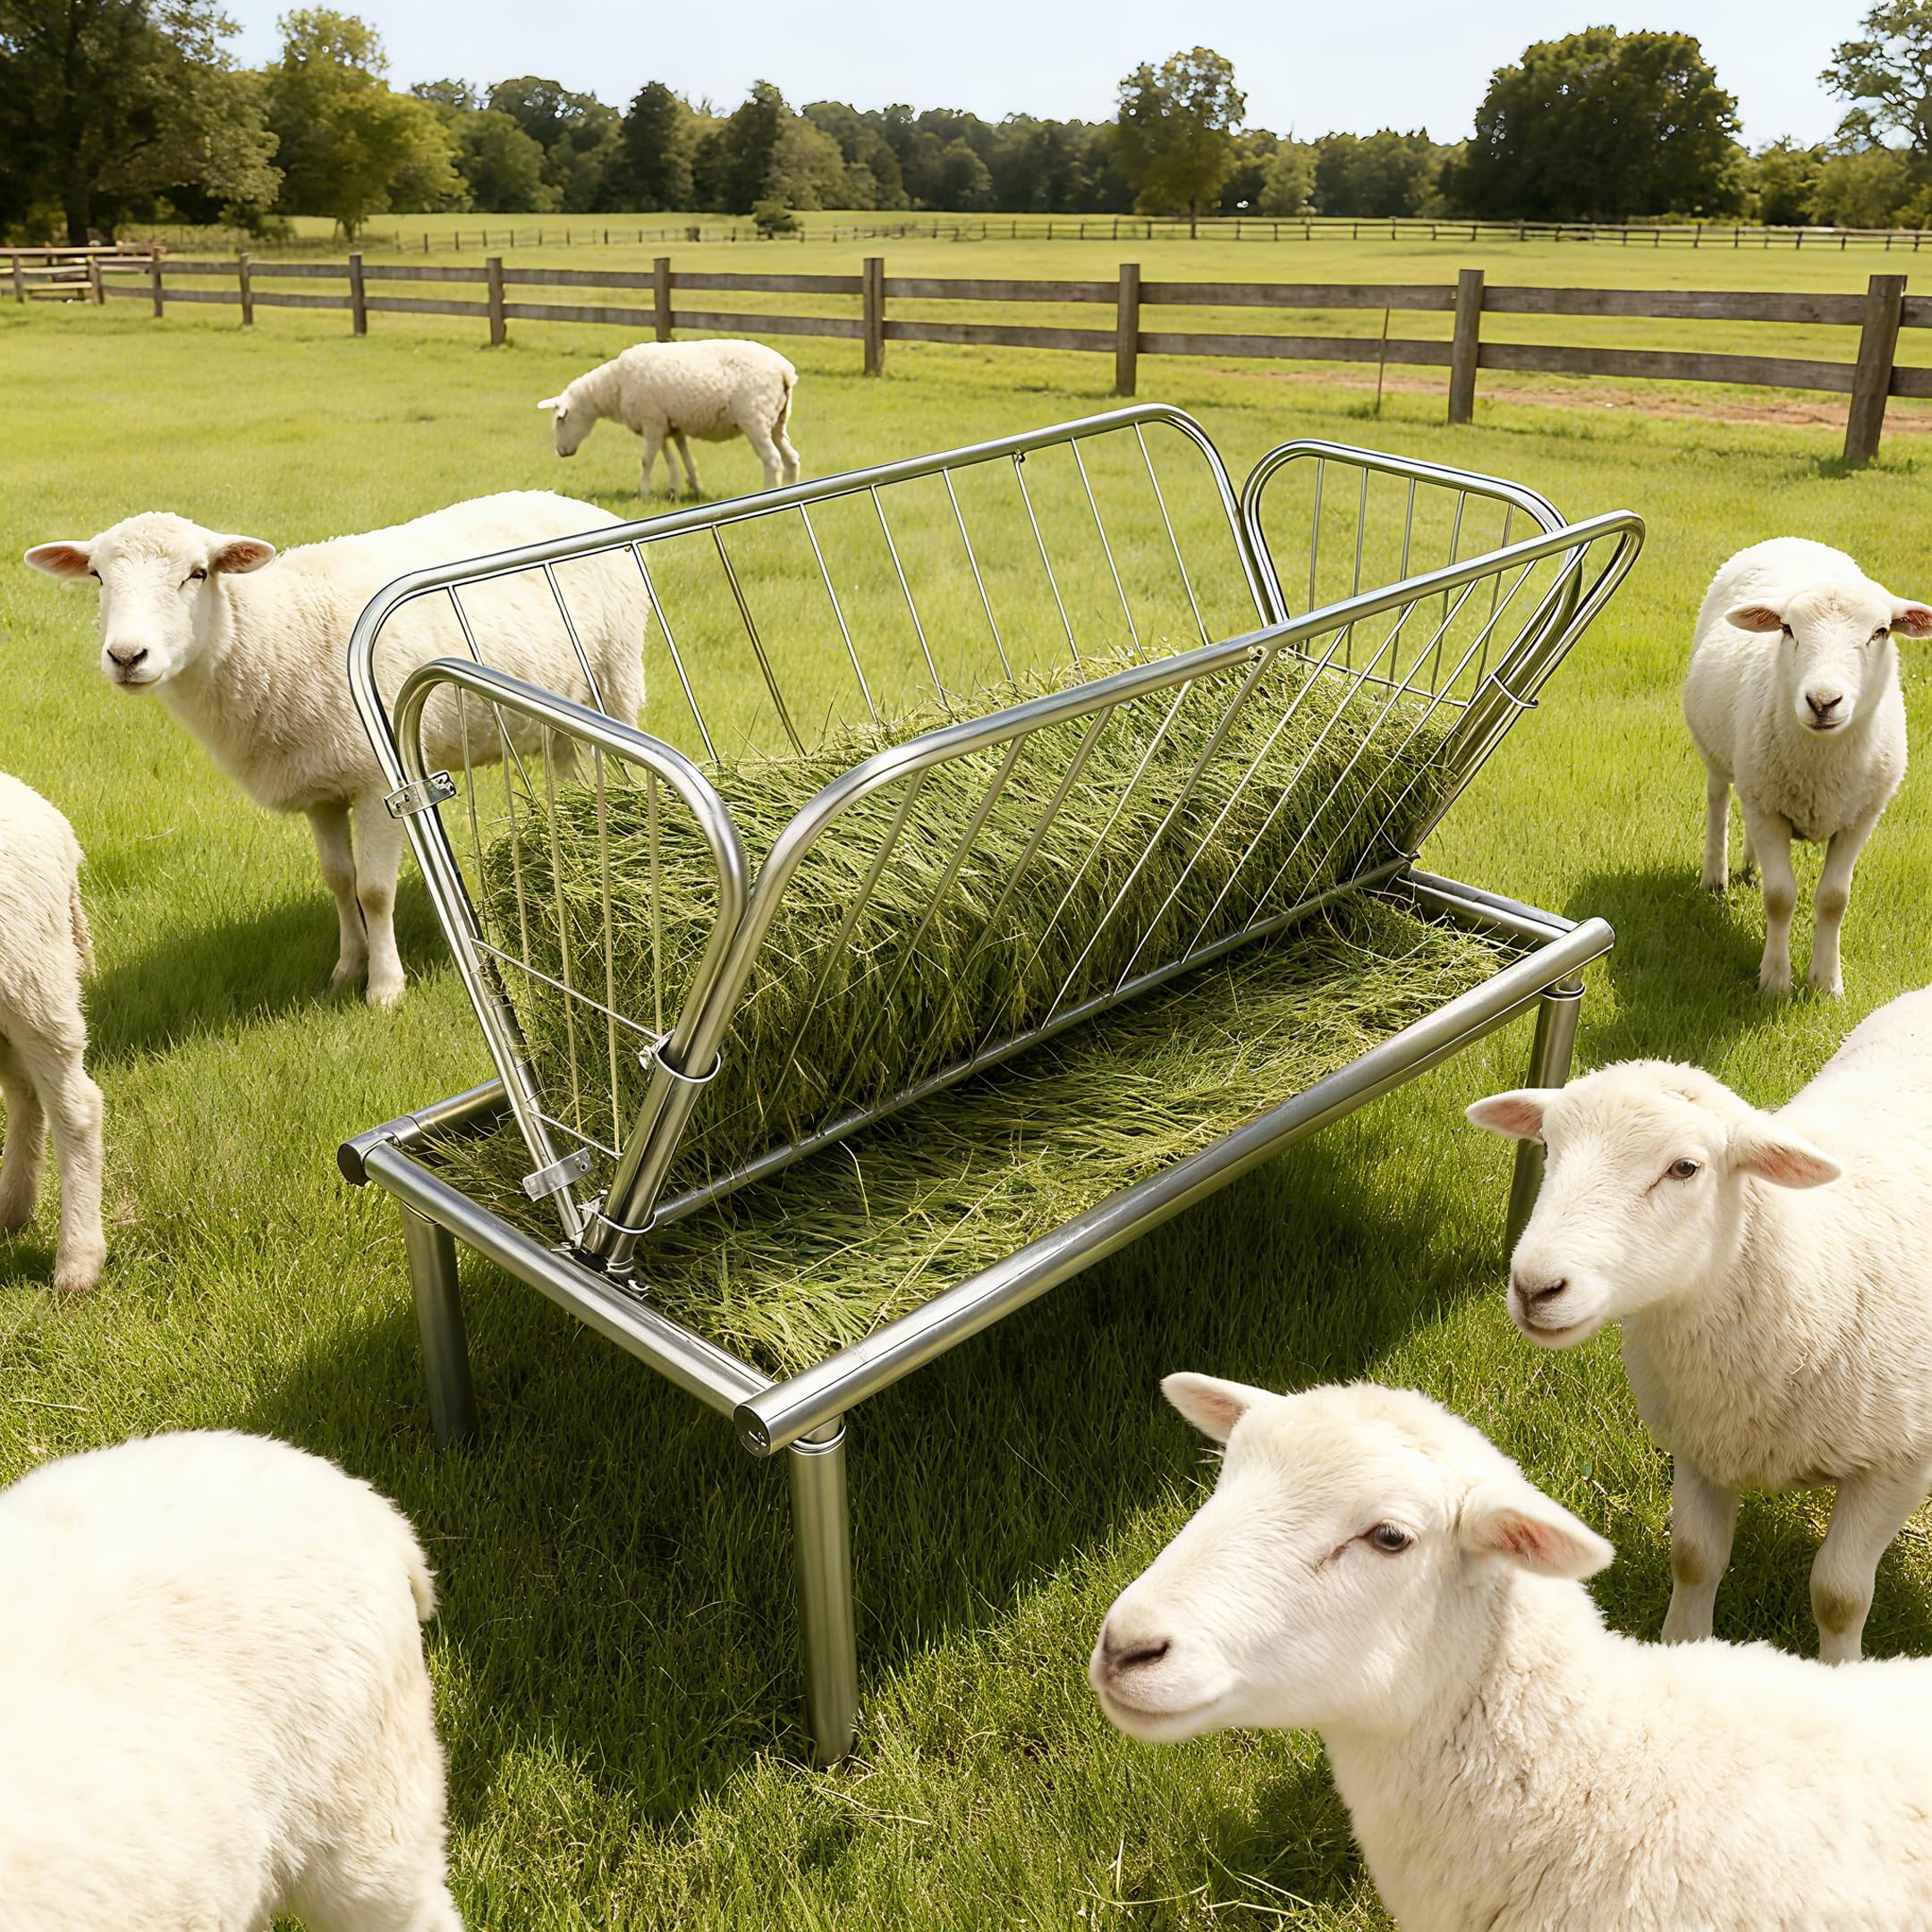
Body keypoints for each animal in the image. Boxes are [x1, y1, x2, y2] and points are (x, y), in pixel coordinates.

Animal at [26, 492, 646, 1009]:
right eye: (97, 575)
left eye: (197, 574)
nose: (127, 656)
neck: (275, 635)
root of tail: (578, 504)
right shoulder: (317, 787)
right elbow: (339, 881)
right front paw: (348, 968)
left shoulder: (379, 781)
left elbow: (374, 890)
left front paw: (385, 988)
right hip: (562, 718)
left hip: (615, 686)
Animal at [539, 339, 800, 499]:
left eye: (560, 420)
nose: (561, 452)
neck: (614, 388)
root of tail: (785, 371)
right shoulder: (667, 424)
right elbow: (679, 460)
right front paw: (686, 489)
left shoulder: (652, 421)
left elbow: (647, 461)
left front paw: (642, 494)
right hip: (777, 420)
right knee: (791, 458)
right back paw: (790, 492)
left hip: (755, 418)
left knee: (773, 460)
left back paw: (768, 493)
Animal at [1468, 987, 1932, 1663]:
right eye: (1548, 1147)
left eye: (1685, 1168)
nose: (1534, 1288)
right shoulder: (1699, 1443)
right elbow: (1693, 1559)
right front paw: (1686, 1646)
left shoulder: (1897, 1464)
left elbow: (1839, 1595)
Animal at [1683, 537, 1930, 996]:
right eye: (1787, 629)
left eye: (1881, 631)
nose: (1822, 701)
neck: (1822, 762)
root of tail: (1792, 540)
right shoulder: (1767, 809)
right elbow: (1780, 897)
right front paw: (1775, 980)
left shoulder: (1861, 817)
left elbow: (1834, 900)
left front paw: (1826, 983)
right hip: (1718, 753)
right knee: (1718, 800)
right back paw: (1715, 875)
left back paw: (1750, 864)